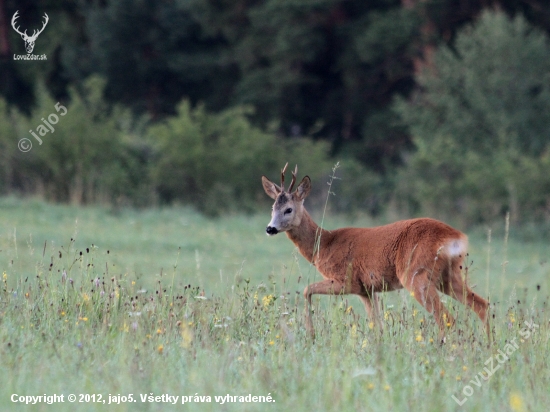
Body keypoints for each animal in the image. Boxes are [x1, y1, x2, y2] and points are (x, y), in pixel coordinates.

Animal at [264, 163, 492, 342]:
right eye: (272, 208)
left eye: (288, 209)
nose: (270, 228)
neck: (325, 244)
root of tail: (455, 237)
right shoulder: (366, 289)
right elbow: (377, 323)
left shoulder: (345, 280)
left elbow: (306, 290)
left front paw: (311, 334)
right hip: (448, 275)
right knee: (482, 305)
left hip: (415, 274)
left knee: (446, 318)